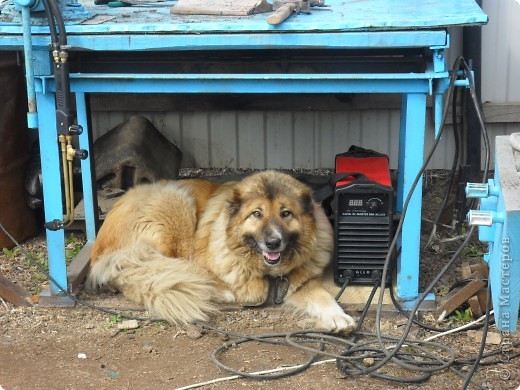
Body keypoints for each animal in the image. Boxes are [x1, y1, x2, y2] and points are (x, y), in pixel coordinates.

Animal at [88, 171, 358, 332]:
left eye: (286, 213)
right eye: (257, 214)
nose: (273, 242)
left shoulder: (297, 282)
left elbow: (323, 296)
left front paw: (338, 317)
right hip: (177, 204)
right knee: (161, 271)